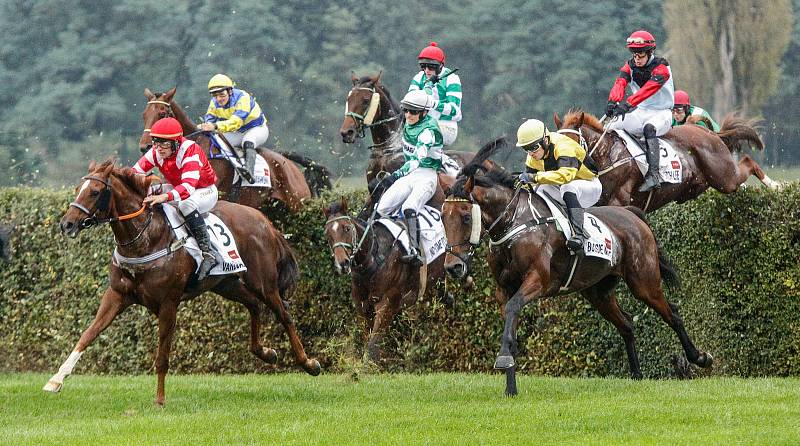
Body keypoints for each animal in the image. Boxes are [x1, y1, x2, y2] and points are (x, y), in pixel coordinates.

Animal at [43, 159, 318, 404]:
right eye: (77, 189)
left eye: (95, 192)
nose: (66, 224)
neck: (145, 238)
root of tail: (265, 221)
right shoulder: (117, 295)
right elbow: (88, 334)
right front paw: (55, 380)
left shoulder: (169, 303)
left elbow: (162, 356)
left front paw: (160, 399)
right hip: (227, 284)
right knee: (253, 305)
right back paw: (266, 352)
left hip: (264, 282)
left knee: (284, 315)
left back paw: (309, 363)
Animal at [322, 197, 446, 360]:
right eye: (327, 233)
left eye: (347, 228)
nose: (342, 263)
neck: (373, 259)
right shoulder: (362, 306)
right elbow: (367, 338)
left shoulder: (388, 303)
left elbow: (372, 346)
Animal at [444, 138, 712, 396]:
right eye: (442, 217)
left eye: (466, 217)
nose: (453, 266)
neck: (514, 223)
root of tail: (632, 215)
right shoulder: (503, 289)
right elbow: (511, 332)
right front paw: (510, 386)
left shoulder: (537, 280)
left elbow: (513, 310)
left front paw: (503, 361)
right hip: (598, 291)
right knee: (626, 325)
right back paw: (636, 375)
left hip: (643, 282)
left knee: (672, 314)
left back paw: (699, 357)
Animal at [552, 109, 780, 212]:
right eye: (554, 143)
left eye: (572, 142)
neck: (607, 156)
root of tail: (708, 132)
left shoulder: (619, 201)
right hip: (702, 184)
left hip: (724, 177)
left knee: (748, 162)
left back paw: (776, 186)